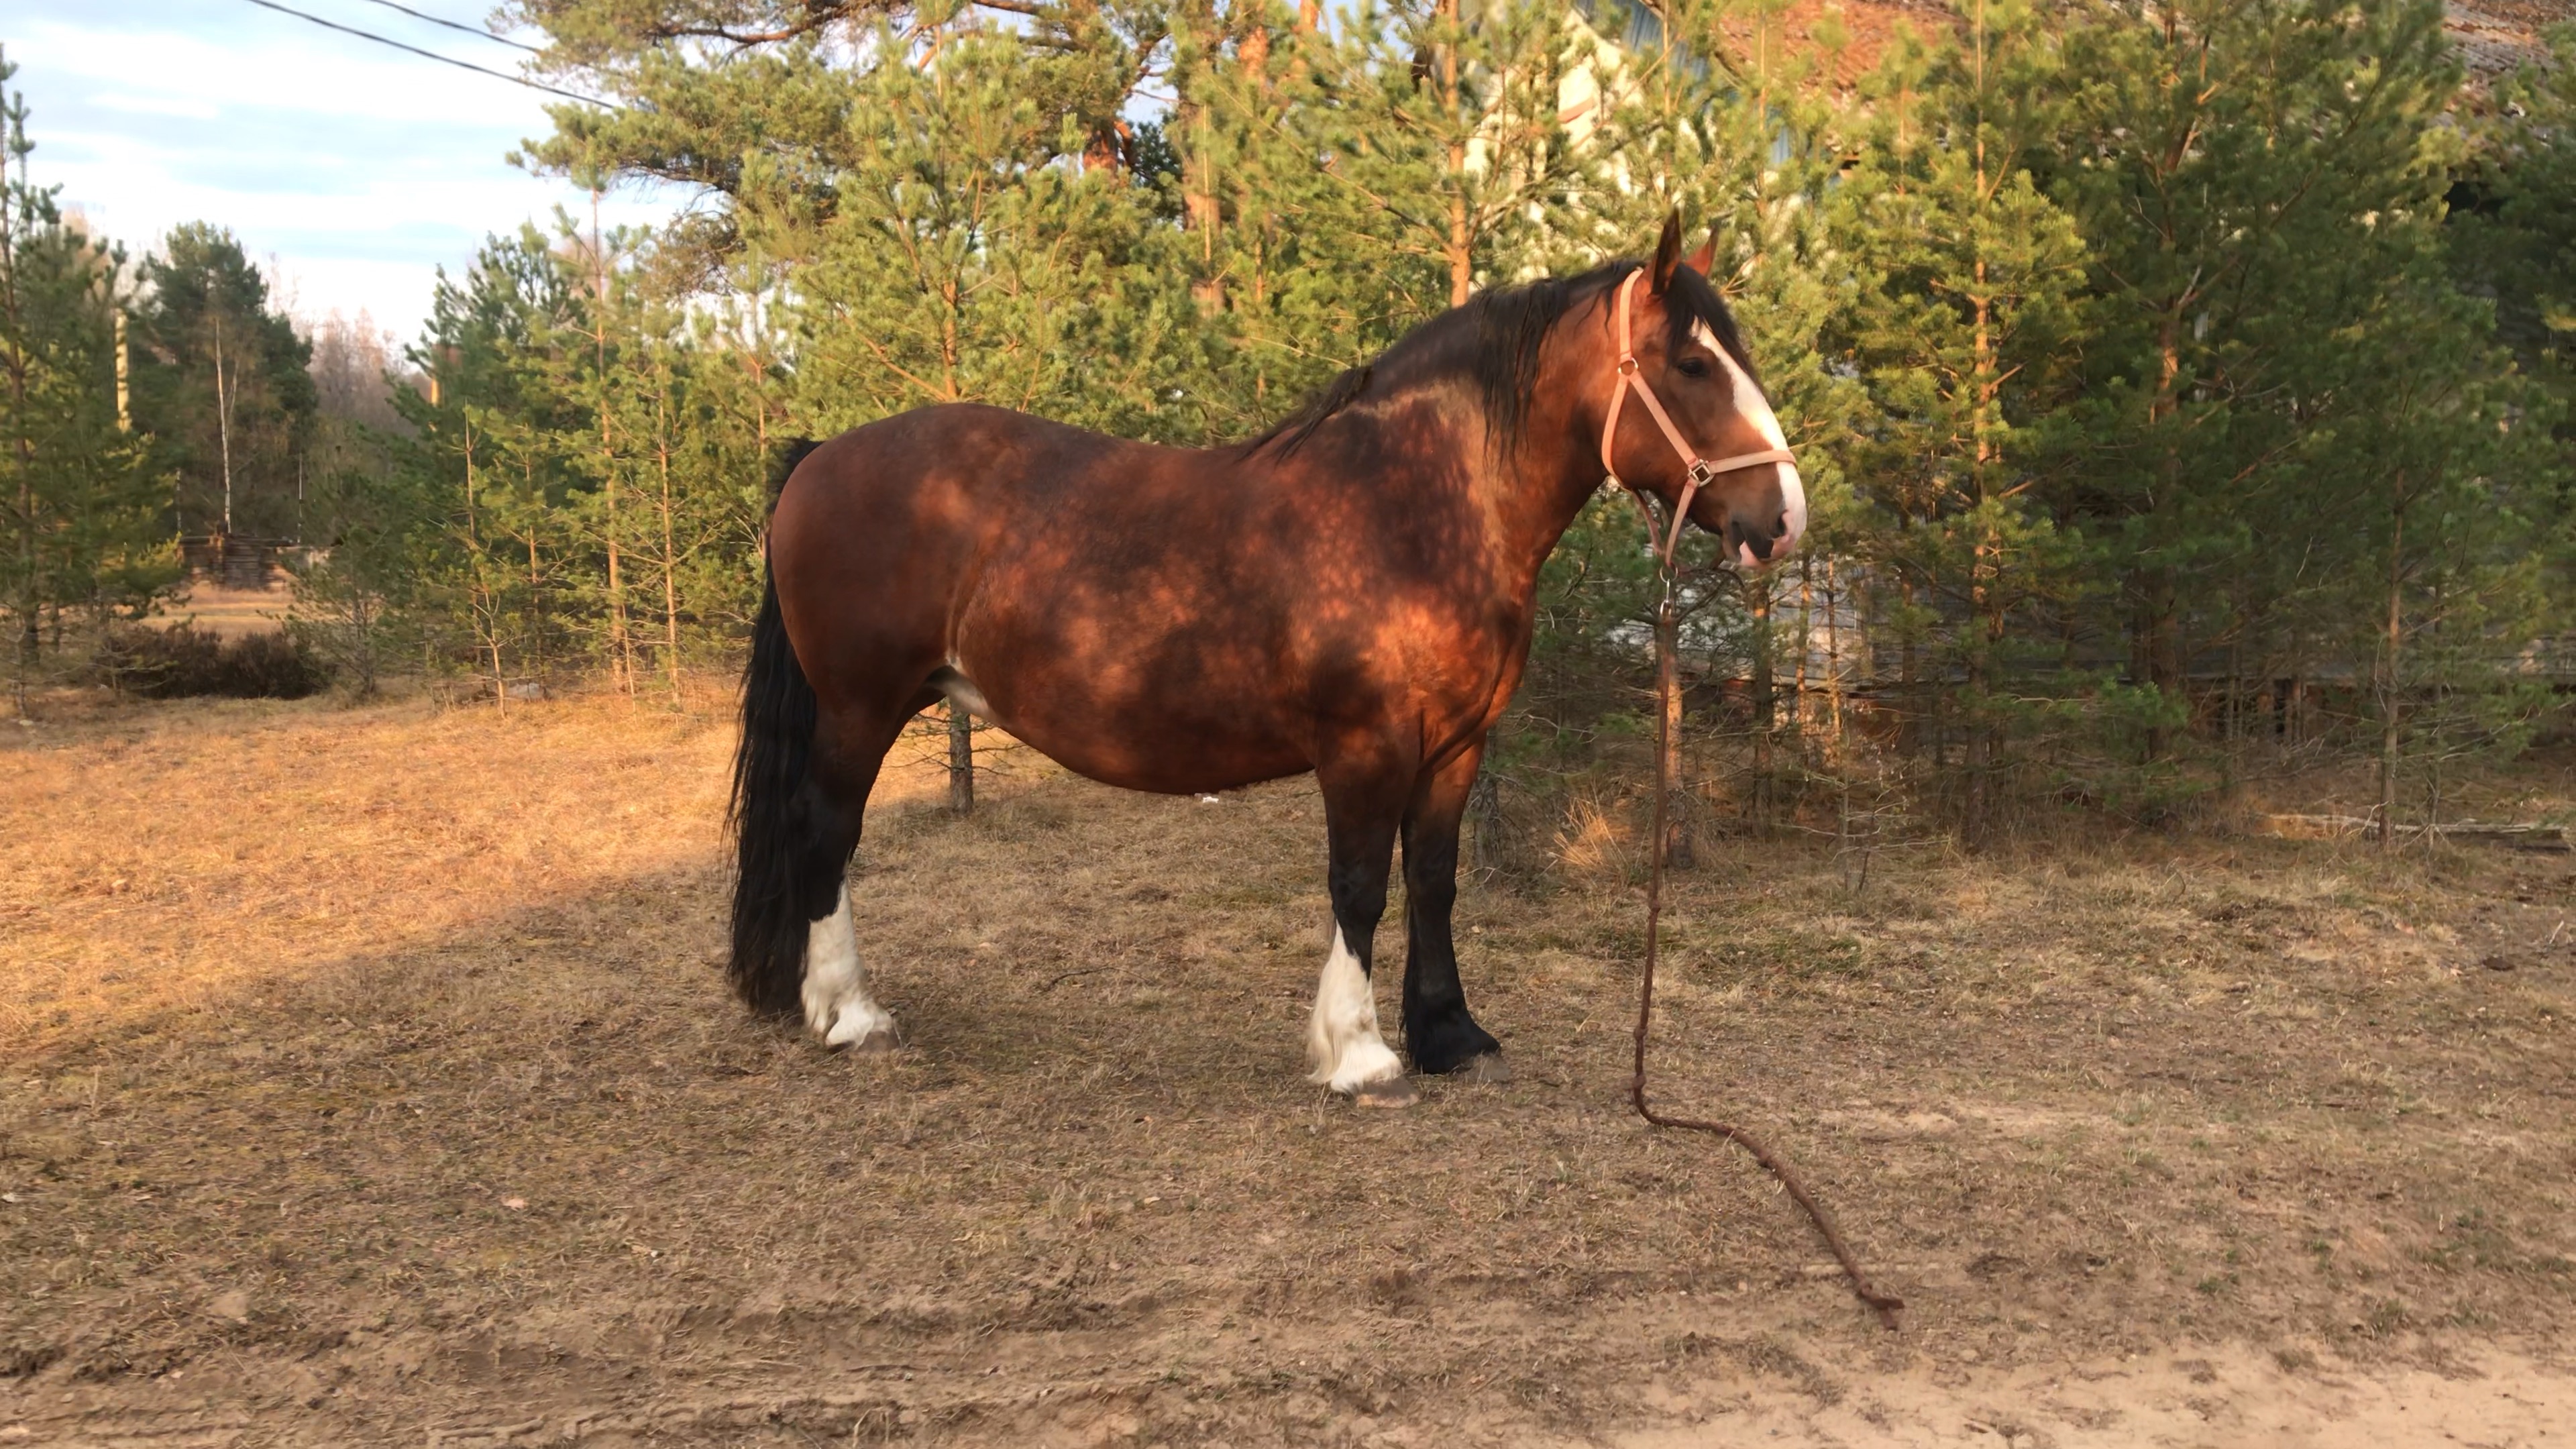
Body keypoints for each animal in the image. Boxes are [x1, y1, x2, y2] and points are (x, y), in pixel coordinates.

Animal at [737, 214, 1803, 1098]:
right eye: (1691, 364)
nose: (1784, 518)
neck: (1411, 507)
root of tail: (822, 455)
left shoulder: (1456, 746)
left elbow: (1434, 879)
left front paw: (1451, 1036)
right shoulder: (1367, 745)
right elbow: (1359, 886)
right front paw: (1361, 1055)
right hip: (859, 708)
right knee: (825, 833)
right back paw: (851, 1016)